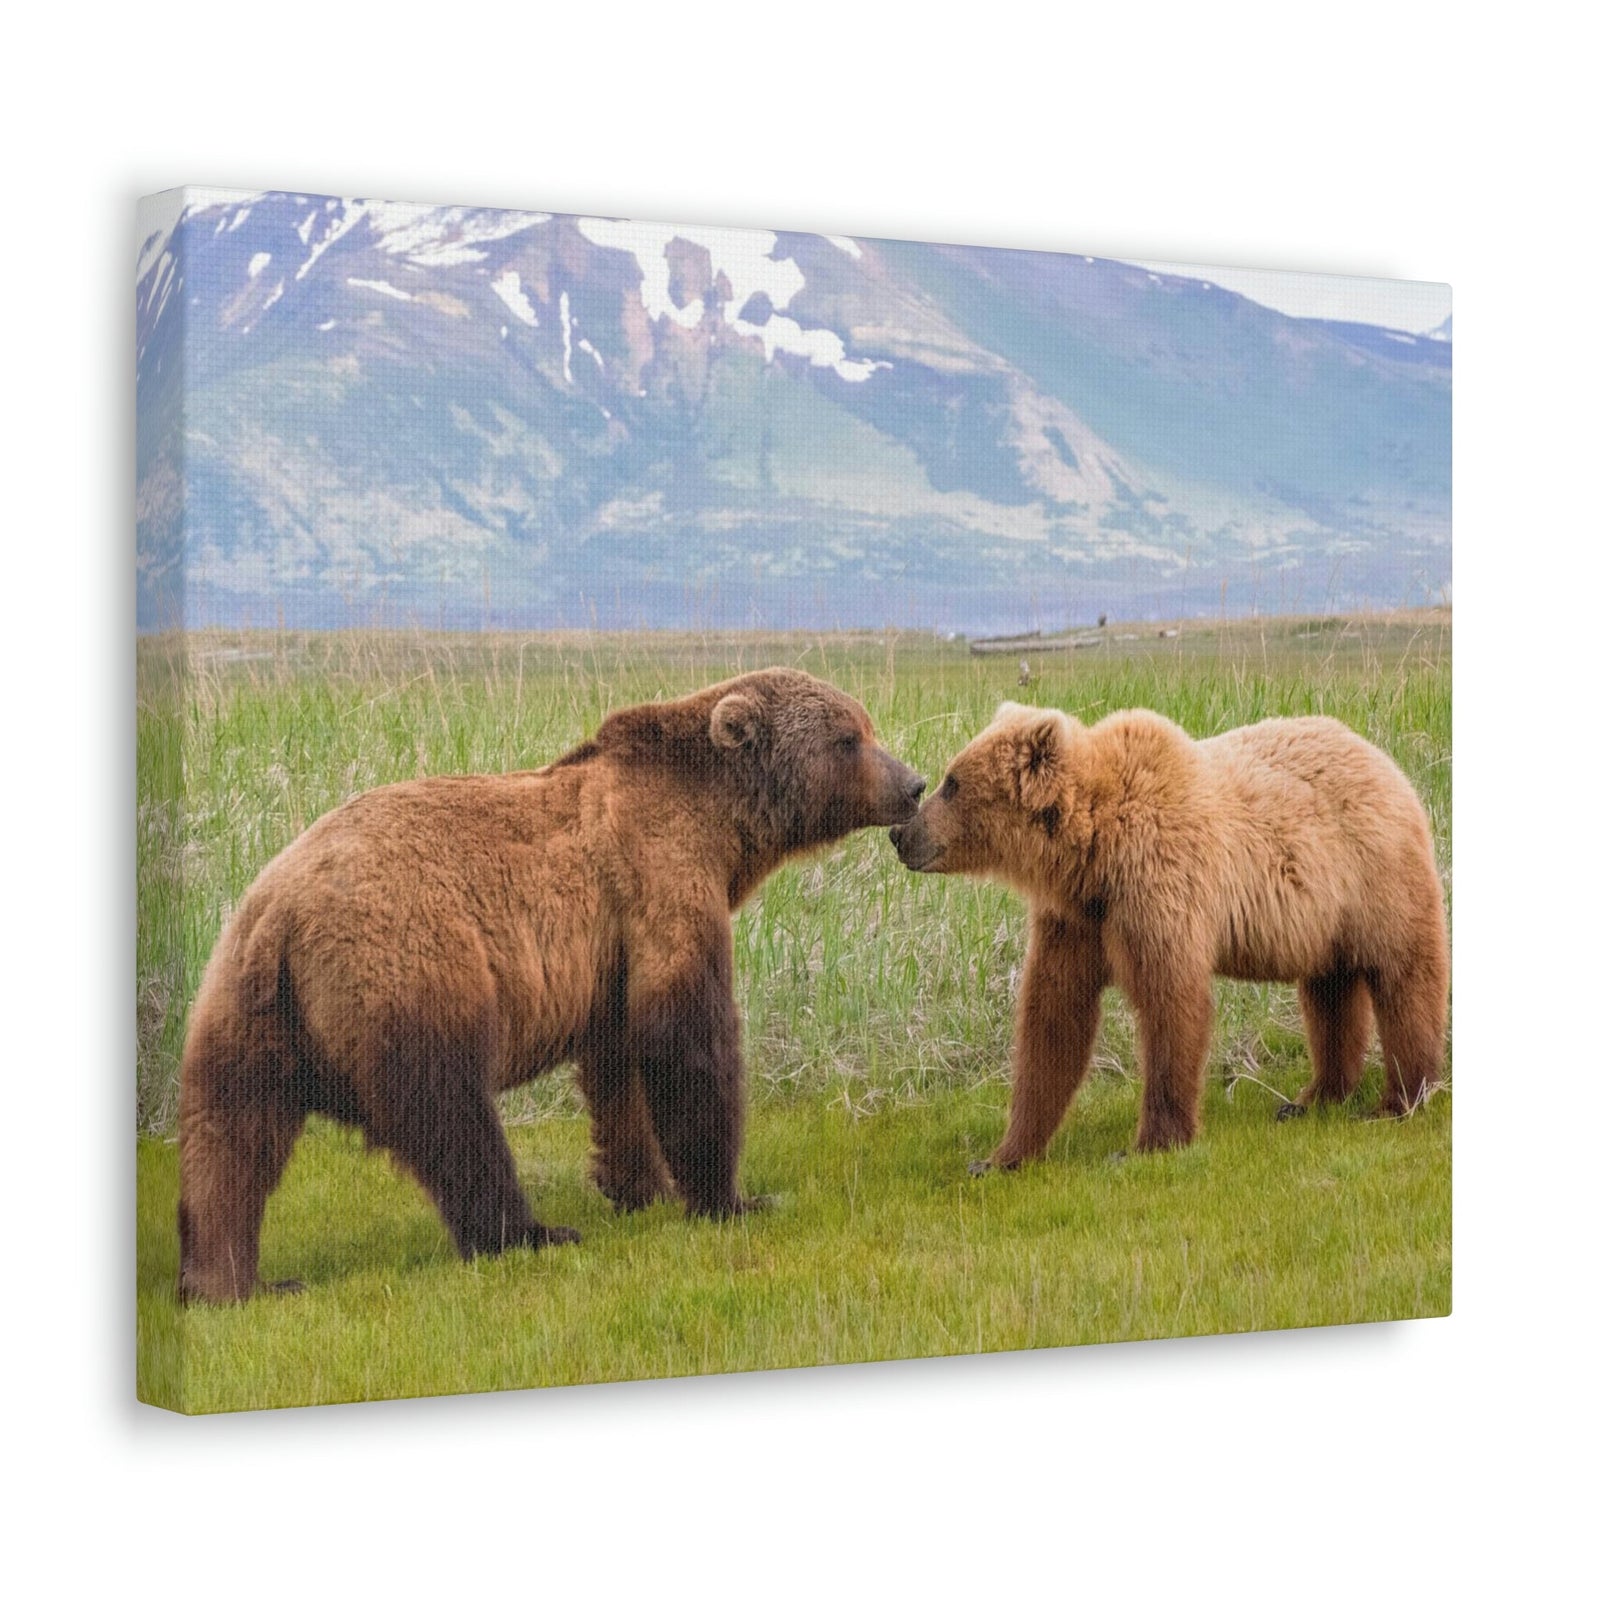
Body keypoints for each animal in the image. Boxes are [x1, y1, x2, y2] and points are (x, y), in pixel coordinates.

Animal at [177, 667, 925, 1303]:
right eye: (848, 737)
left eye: (866, 725)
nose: (913, 783)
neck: (721, 826)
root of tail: (282, 914)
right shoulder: (660, 878)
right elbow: (685, 1037)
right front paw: (732, 1196)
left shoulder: (609, 954)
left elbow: (619, 1064)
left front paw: (641, 1184)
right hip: (406, 965)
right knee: (448, 1111)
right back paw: (530, 1233)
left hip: (244, 1005)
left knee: (230, 1136)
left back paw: (232, 1282)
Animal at [889, 703, 1448, 1168]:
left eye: (952, 781)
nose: (900, 833)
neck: (1093, 850)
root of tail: (1385, 761)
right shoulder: (1079, 919)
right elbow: (1053, 1017)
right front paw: (1003, 1154)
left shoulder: (1157, 884)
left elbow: (1171, 1002)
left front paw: (1149, 1143)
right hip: (1323, 918)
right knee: (1330, 992)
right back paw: (1314, 1098)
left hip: (1375, 875)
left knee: (1404, 977)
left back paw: (1401, 1098)